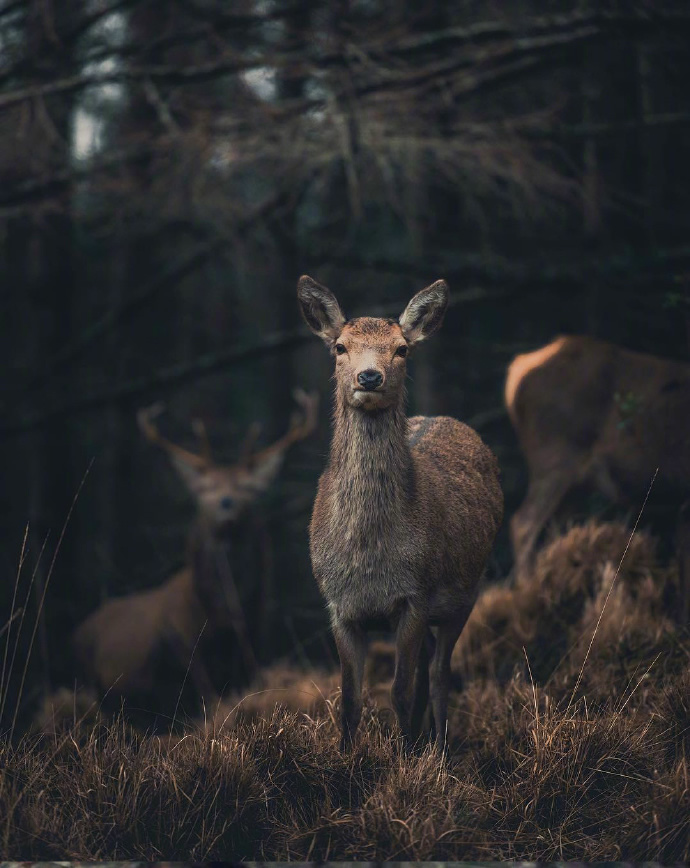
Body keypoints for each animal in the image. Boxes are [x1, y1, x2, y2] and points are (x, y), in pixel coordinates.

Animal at [71, 390, 318, 716]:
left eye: (247, 488)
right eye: (205, 488)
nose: (226, 503)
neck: (222, 619)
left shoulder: (253, 647)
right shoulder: (184, 648)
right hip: (90, 680)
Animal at [296, 274, 500, 748]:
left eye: (402, 348)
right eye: (340, 346)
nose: (370, 376)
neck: (370, 557)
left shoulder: (415, 597)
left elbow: (401, 693)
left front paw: (406, 759)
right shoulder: (339, 605)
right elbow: (350, 700)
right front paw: (347, 759)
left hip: (467, 593)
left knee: (439, 674)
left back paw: (440, 748)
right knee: (429, 672)